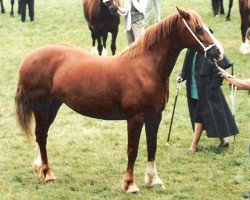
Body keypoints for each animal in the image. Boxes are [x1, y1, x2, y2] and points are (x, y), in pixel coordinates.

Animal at [15, 8, 223, 194]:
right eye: (197, 28)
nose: (218, 52)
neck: (146, 68)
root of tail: (28, 58)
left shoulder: (155, 116)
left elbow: (152, 146)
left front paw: (153, 180)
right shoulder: (135, 118)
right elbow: (133, 150)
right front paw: (130, 185)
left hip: (52, 107)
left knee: (41, 135)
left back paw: (39, 169)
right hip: (41, 107)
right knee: (41, 135)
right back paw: (48, 174)